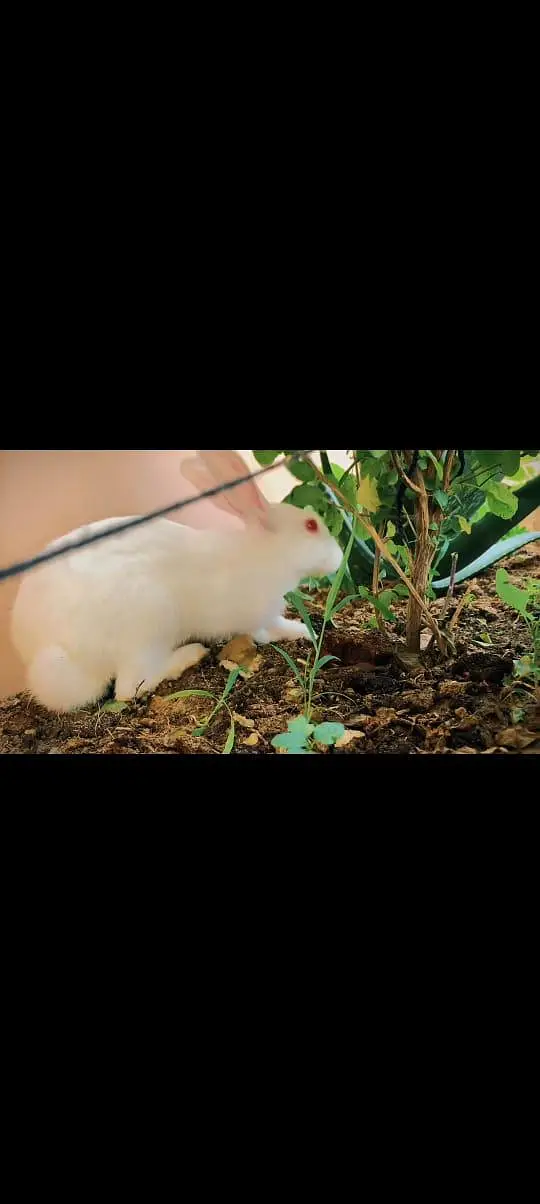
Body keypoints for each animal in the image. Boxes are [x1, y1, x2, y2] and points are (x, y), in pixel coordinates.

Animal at [10, 451, 343, 712]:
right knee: (129, 686)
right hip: (149, 621)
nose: (339, 558)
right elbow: (267, 631)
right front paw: (303, 632)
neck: (265, 554)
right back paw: (190, 654)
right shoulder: (254, 616)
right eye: (311, 525)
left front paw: (305, 631)